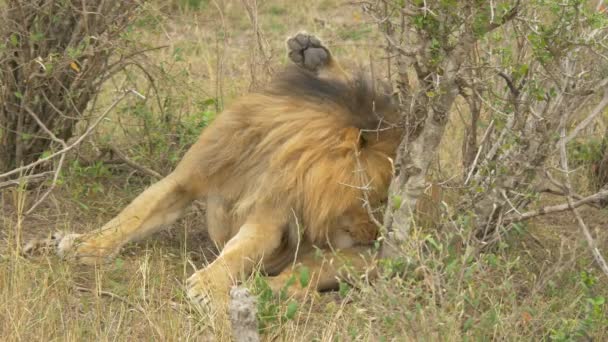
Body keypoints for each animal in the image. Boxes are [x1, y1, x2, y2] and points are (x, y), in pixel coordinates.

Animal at [44, 33, 404, 312]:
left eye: (382, 199)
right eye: (372, 199)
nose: (376, 234)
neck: (267, 151)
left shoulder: (272, 212)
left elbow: (240, 250)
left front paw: (207, 285)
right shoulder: (185, 179)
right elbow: (133, 214)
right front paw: (85, 244)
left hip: (343, 258)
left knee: (293, 280)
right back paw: (311, 54)